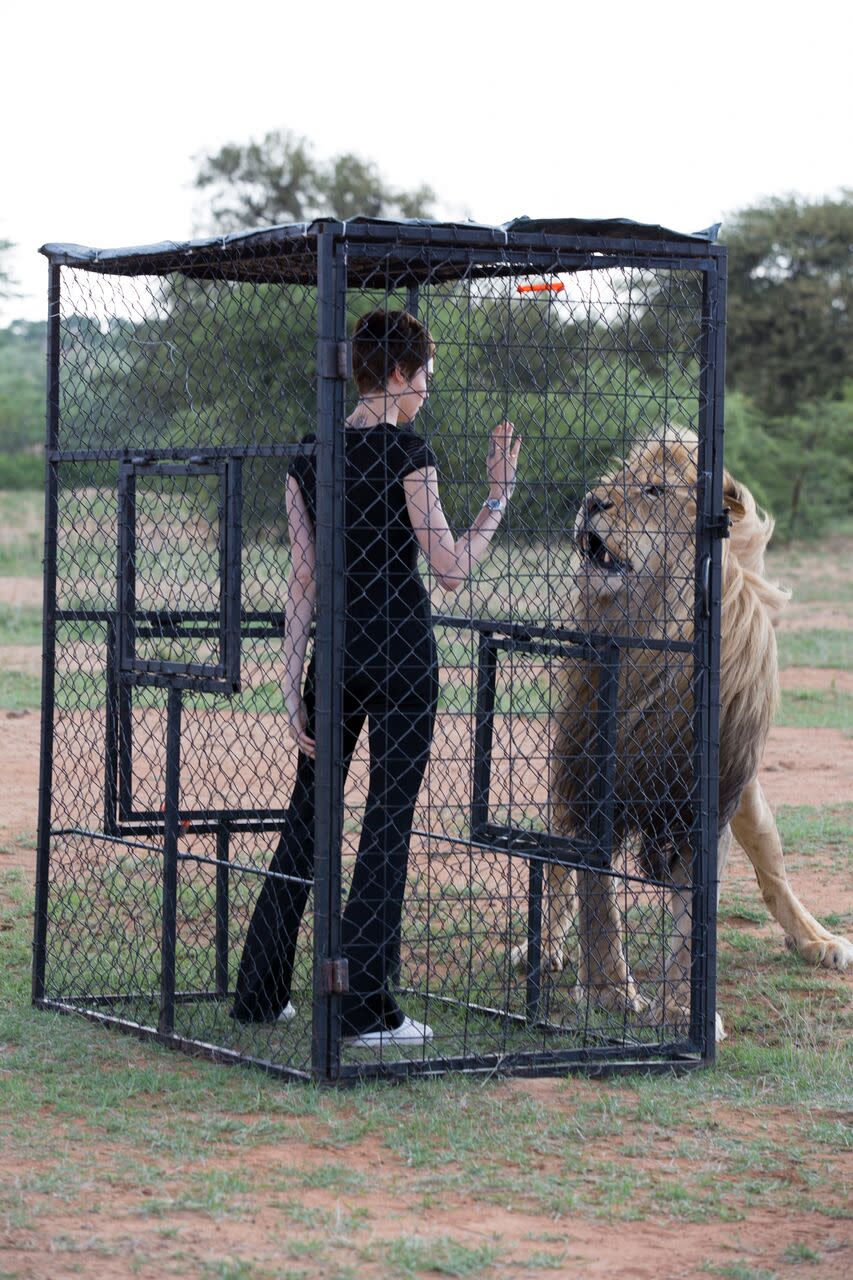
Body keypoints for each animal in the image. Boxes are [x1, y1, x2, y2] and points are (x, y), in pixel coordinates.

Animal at [517, 430, 850, 1039]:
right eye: (616, 479)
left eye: (653, 489)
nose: (591, 501)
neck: (650, 645)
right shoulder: (587, 773)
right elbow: (595, 897)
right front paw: (607, 991)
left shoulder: (707, 803)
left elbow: (693, 918)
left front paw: (679, 1010)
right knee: (554, 865)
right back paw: (545, 949)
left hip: (751, 801)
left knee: (775, 874)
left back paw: (817, 940)